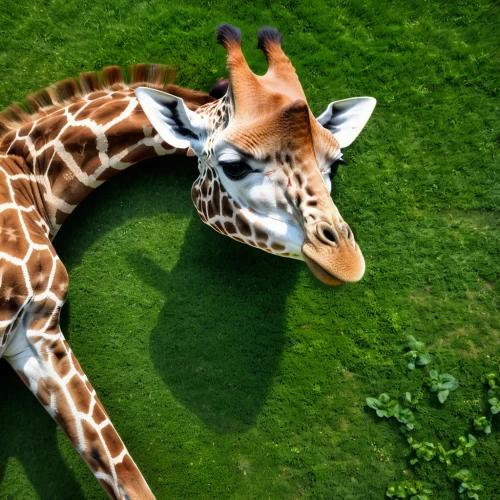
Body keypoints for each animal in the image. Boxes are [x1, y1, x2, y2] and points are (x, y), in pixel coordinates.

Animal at [0, 22, 376, 496]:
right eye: (234, 165)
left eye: (336, 162)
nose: (344, 259)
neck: (27, 180)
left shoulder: (34, 326)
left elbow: (125, 478)